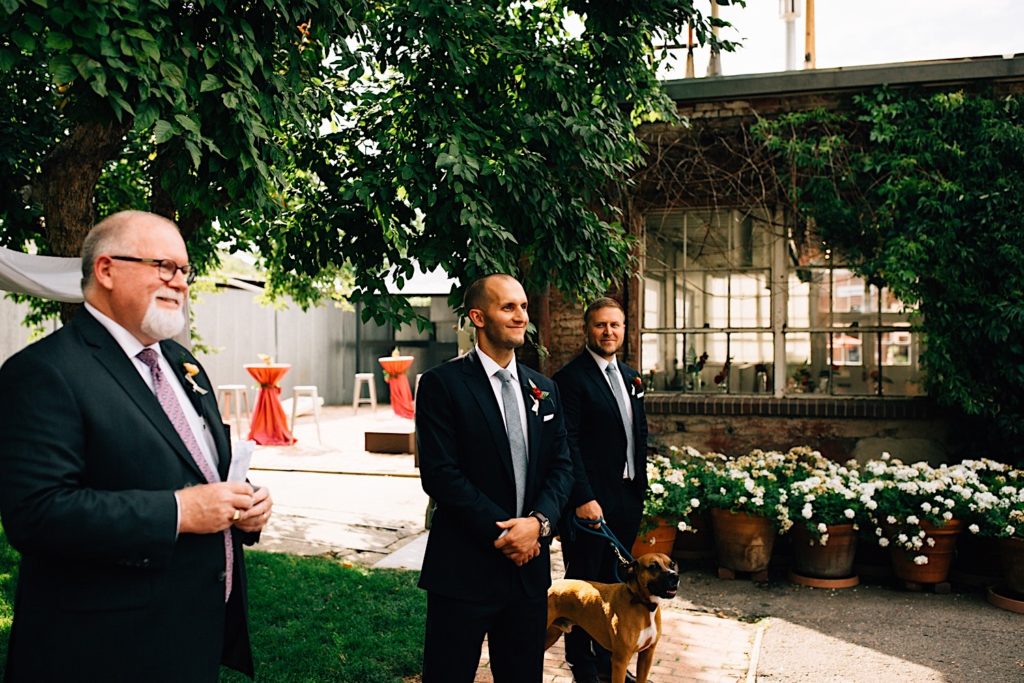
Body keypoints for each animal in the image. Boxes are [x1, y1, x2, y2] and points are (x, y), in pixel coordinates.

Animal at [544, 552, 679, 683]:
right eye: (653, 566)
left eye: (672, 565)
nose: (675, 576)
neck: (642, 603)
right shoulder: (620, 661)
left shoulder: (647, 655)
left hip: (551, 635)